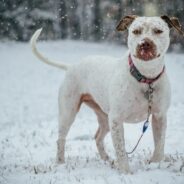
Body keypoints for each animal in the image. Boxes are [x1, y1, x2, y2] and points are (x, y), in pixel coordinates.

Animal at [30, 15, 183, 173]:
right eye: (136, 31)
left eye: (158, 31)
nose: (145, 43)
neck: (146, 78)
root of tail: (71, 66)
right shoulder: (116, 119)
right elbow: (121, 149)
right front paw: (125, 172)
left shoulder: (160, 116)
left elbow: (160, 143)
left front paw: (155, 164)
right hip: (68, 112)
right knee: (61, 138)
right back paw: (60, 163)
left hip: (104, 117)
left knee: (98, 137)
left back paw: (107, 160)